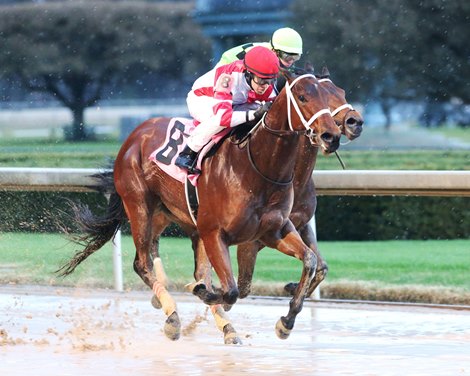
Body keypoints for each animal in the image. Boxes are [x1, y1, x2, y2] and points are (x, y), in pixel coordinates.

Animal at [58, 72, 342, 342]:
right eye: (303, 97)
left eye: (333, 96)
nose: (332, 136)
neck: (258, 167)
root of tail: (136, 134)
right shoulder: (216, 233)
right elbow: (230, 290)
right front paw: (202, 293)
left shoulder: (273, 231)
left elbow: (310, 260)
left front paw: (286, 321)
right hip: (139, 206)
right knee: (142, 263)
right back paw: (173, 316)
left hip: (179, 218)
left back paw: (222, 325)